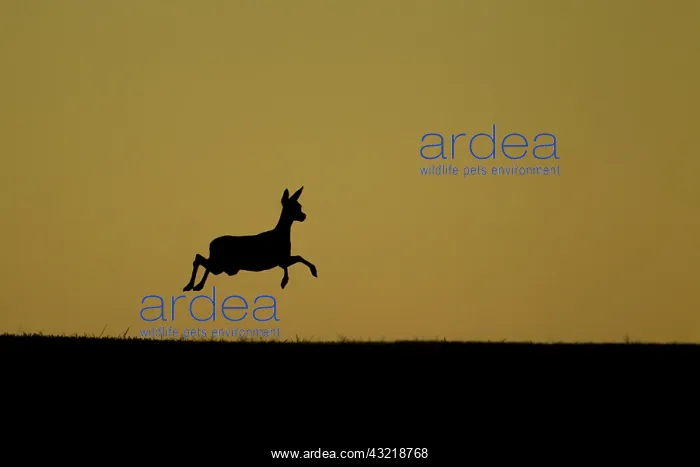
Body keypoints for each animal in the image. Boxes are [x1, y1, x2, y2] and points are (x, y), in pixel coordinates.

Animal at [182, 186, 318, 292]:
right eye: (294, 207)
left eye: (299, 205)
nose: (304, 216)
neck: (281, 235)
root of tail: (211, 244)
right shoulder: (280, 258)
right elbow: (297, 259)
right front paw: (309, 273)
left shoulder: (282, 259)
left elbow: (297, 259)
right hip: (221, 264)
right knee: (202, 261)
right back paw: (195, 286)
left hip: (225, 266)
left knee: (201, 260)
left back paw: (191, 286)